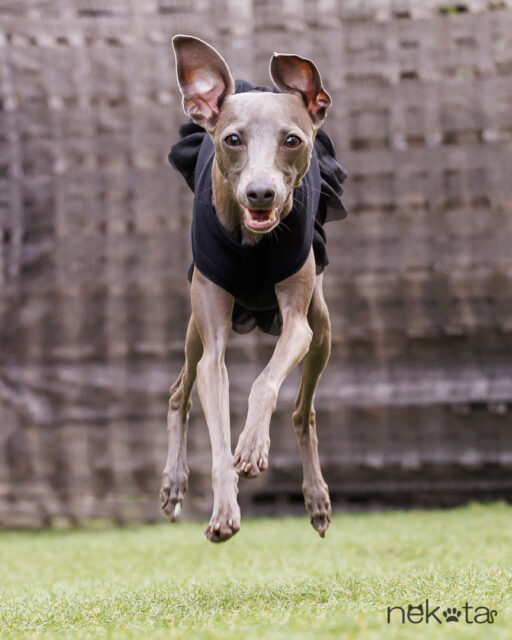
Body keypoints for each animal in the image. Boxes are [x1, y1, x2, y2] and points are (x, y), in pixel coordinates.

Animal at [160, 35, 345, 542]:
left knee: (303, 411)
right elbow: (217, 416)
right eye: (232, 139)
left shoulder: (298, 327)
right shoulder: (213, 345)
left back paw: (317, 499)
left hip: (322, 329)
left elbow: (264, 384)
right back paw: (173, 483)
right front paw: (224, 510)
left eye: (291, 140)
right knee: (179, 391)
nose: (260, 194)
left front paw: (253, 446)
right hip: (194, 328)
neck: (252, 242)